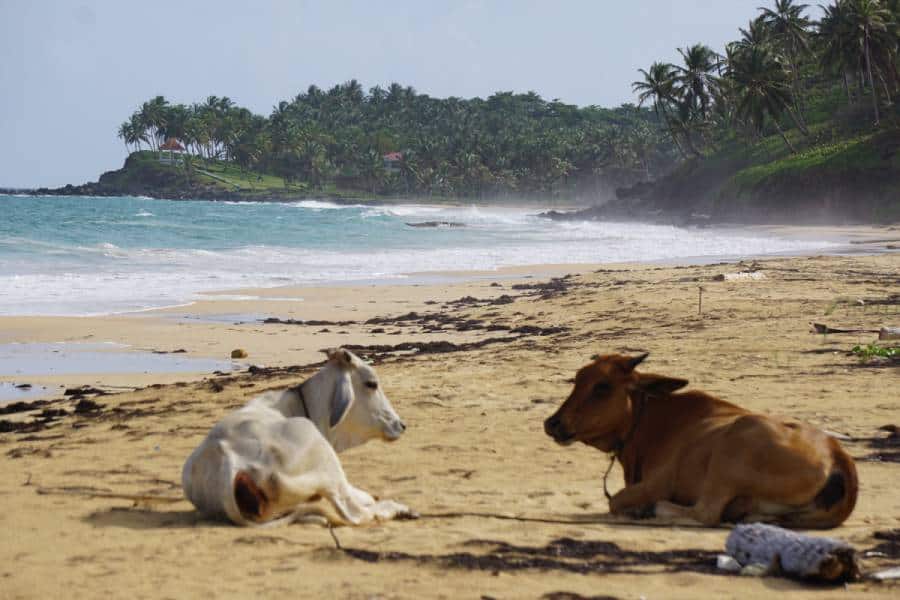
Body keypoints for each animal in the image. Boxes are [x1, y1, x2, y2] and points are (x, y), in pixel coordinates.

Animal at [183, 346, 414, 524]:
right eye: (371, 384)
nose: (401, 425)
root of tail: (227, 458)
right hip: (322, 455)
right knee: (355, 512)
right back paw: (399, 509)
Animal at [540, 354, 856, 528]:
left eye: (602, 386)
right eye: (577, 380)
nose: (552, 423)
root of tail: (835, 453)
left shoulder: (658, 483)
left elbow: (615, 501)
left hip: (731, 454)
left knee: (706, 513)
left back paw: (651, 510)